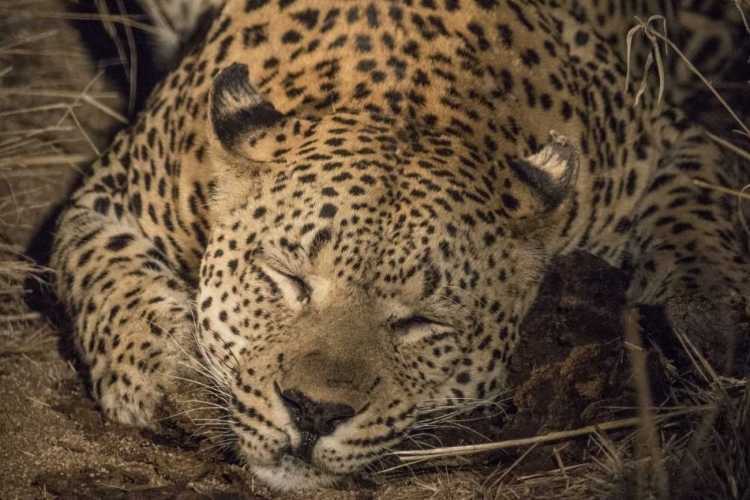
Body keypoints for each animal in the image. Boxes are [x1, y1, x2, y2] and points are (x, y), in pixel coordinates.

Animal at [50, 0, 748, 492]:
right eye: (287, 279)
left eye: (419, 323)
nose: (313, 413)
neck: (410, 98)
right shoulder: (105, 202)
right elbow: (112, 289)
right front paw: (173, 381)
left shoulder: (672, 142)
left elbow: (702, 218)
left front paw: (707, 318)